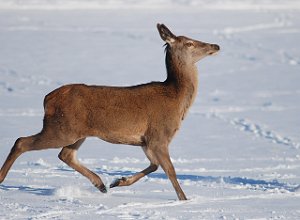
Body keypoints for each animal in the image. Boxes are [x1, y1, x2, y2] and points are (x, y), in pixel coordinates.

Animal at [0, 23, 220, 200]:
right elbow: (170, 170)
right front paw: (184, 200)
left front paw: (118, 181)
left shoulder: (146, 141)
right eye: (189, 43)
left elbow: (155, 166)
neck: (176, 99)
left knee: (65, 155)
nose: (215, 46)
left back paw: (101, 184)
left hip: (76, 131)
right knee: (21, 141)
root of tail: (47, 99)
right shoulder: (159, 135)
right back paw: (1, 178)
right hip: (61, 128)